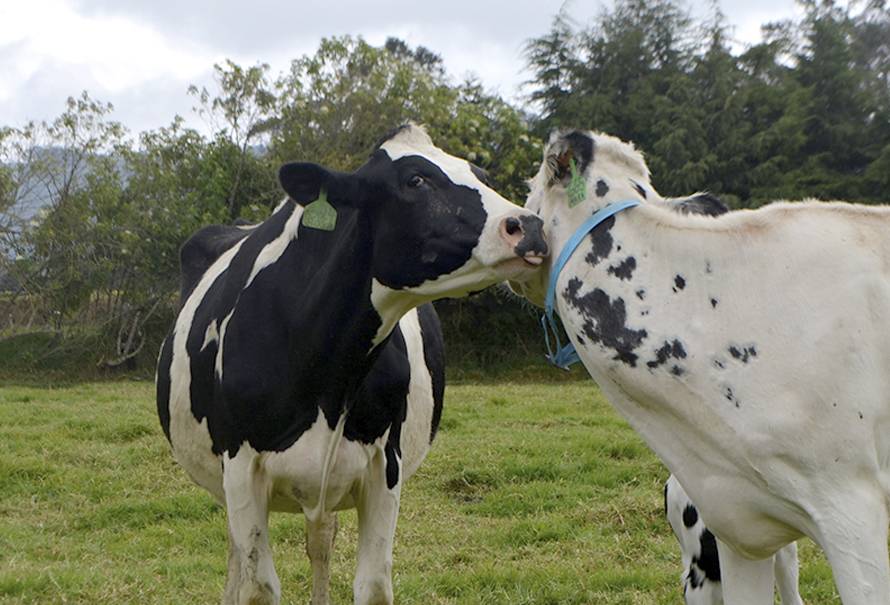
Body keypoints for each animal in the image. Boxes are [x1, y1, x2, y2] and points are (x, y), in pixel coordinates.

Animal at [155, 124, 544, 604]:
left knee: (320, 540)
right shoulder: (241, 467)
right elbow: (257, 586)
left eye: (481, 175)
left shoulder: (384, 466)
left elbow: (372, 584)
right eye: (415, 180)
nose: (529, 226)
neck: (327, 376)